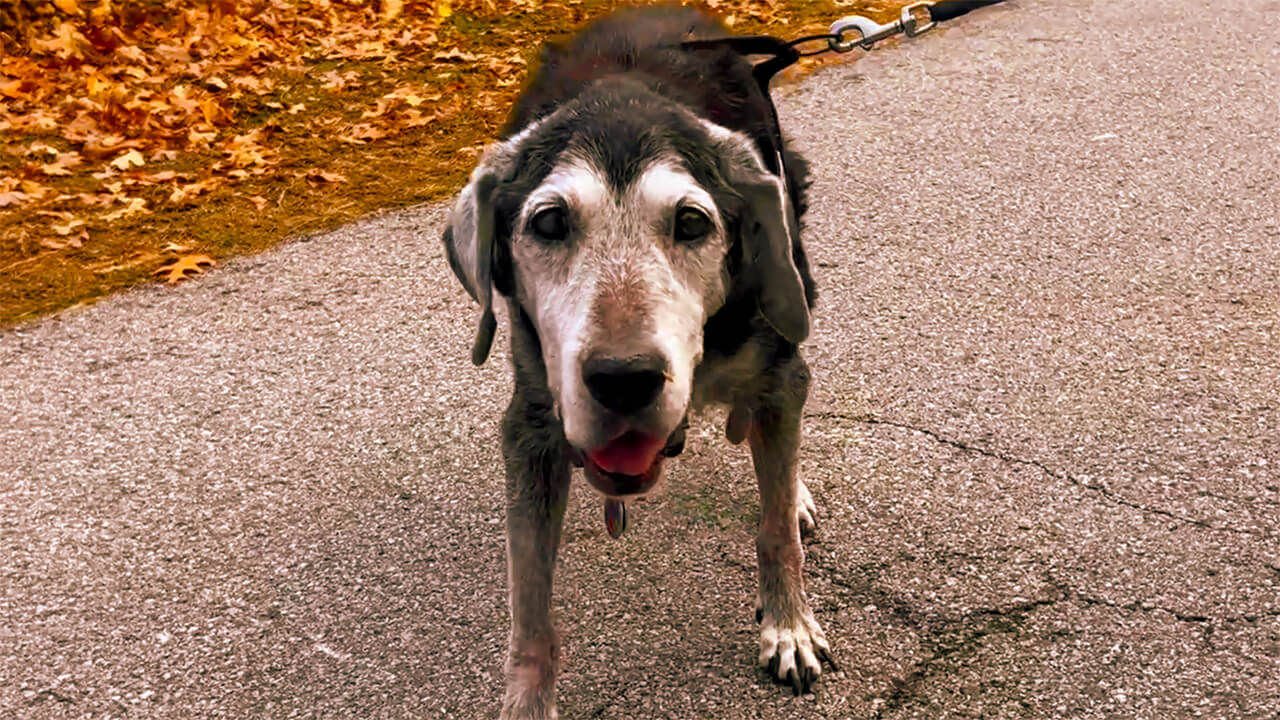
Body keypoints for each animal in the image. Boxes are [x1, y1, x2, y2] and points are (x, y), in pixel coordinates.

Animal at [445, 7, 834, 717]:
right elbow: (529, 602)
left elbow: (774, 531)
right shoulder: (533, 427)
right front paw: (528, 699)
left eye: (691, 222)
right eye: (548, 224)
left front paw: (789, 626)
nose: (623, 380)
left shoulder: (777, 374)